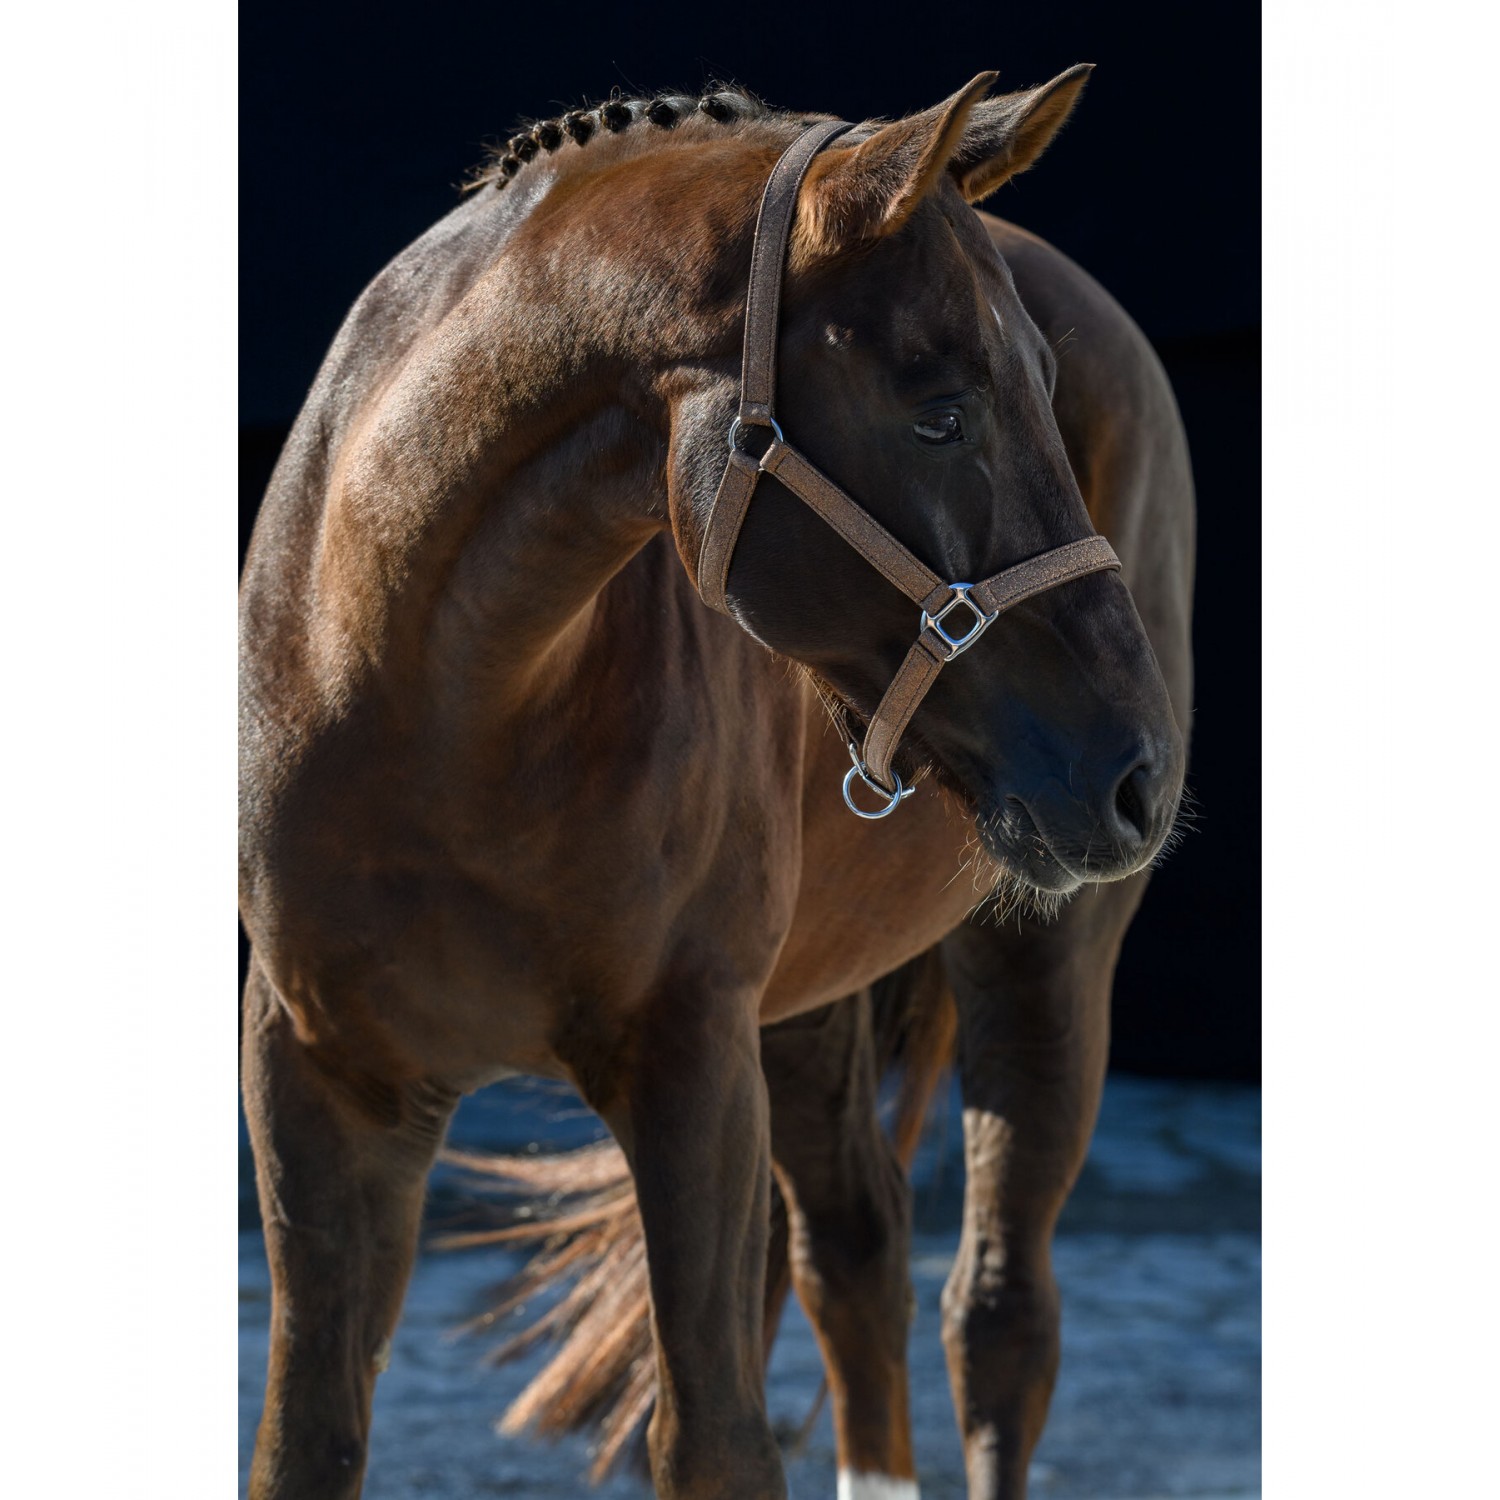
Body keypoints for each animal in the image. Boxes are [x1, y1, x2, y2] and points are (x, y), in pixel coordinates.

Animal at [239, 65, 1193, 1500]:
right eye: (940, 410)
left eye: (1038, 385)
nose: (1142, 774)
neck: (441, 704)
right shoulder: (322, 1079)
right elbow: (304, 1439)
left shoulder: (689, 1060)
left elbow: (717, 1437)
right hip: (804, 1002)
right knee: (857, 1253)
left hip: (1046, 956)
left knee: (996, 1318)